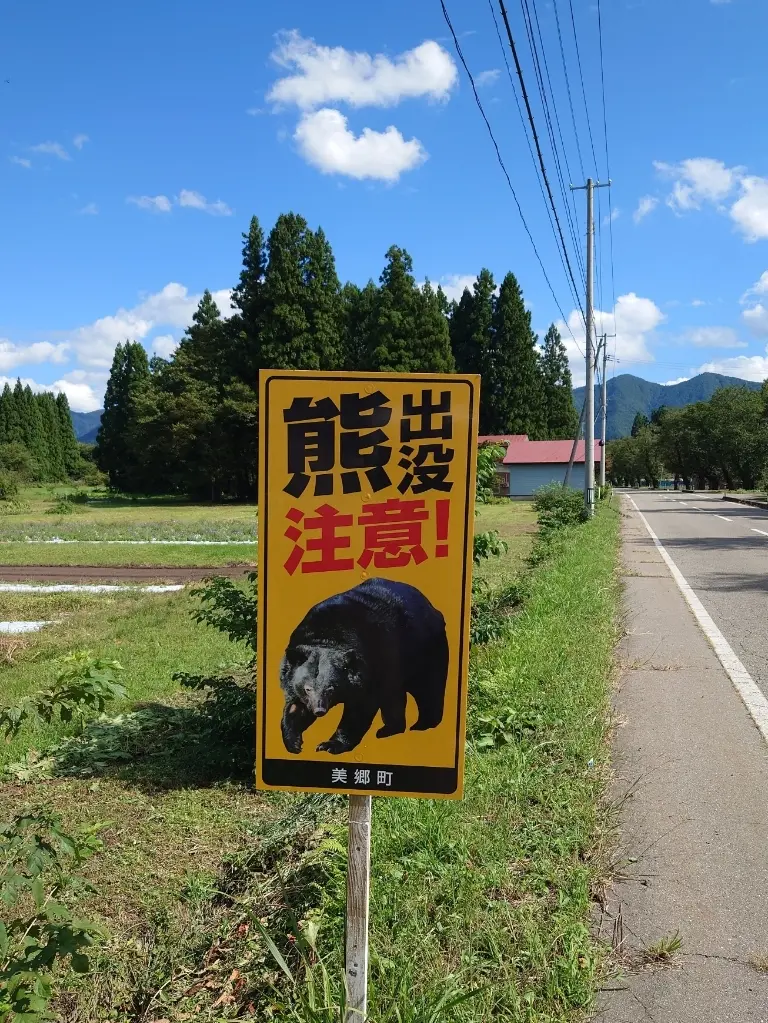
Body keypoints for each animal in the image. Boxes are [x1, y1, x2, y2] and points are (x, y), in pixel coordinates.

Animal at [279, 577, 449, 755]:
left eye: (331, 688)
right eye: (307, 688)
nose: (319, 710)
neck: (325, 636)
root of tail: (432, 608)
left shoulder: (368, 666)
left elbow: (360, 707)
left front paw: (330, 745)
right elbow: (294, 707)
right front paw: (294, 743)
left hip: (425, 649)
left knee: (429, 687)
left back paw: (423, 724)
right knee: (394, 695)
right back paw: (389, 729)